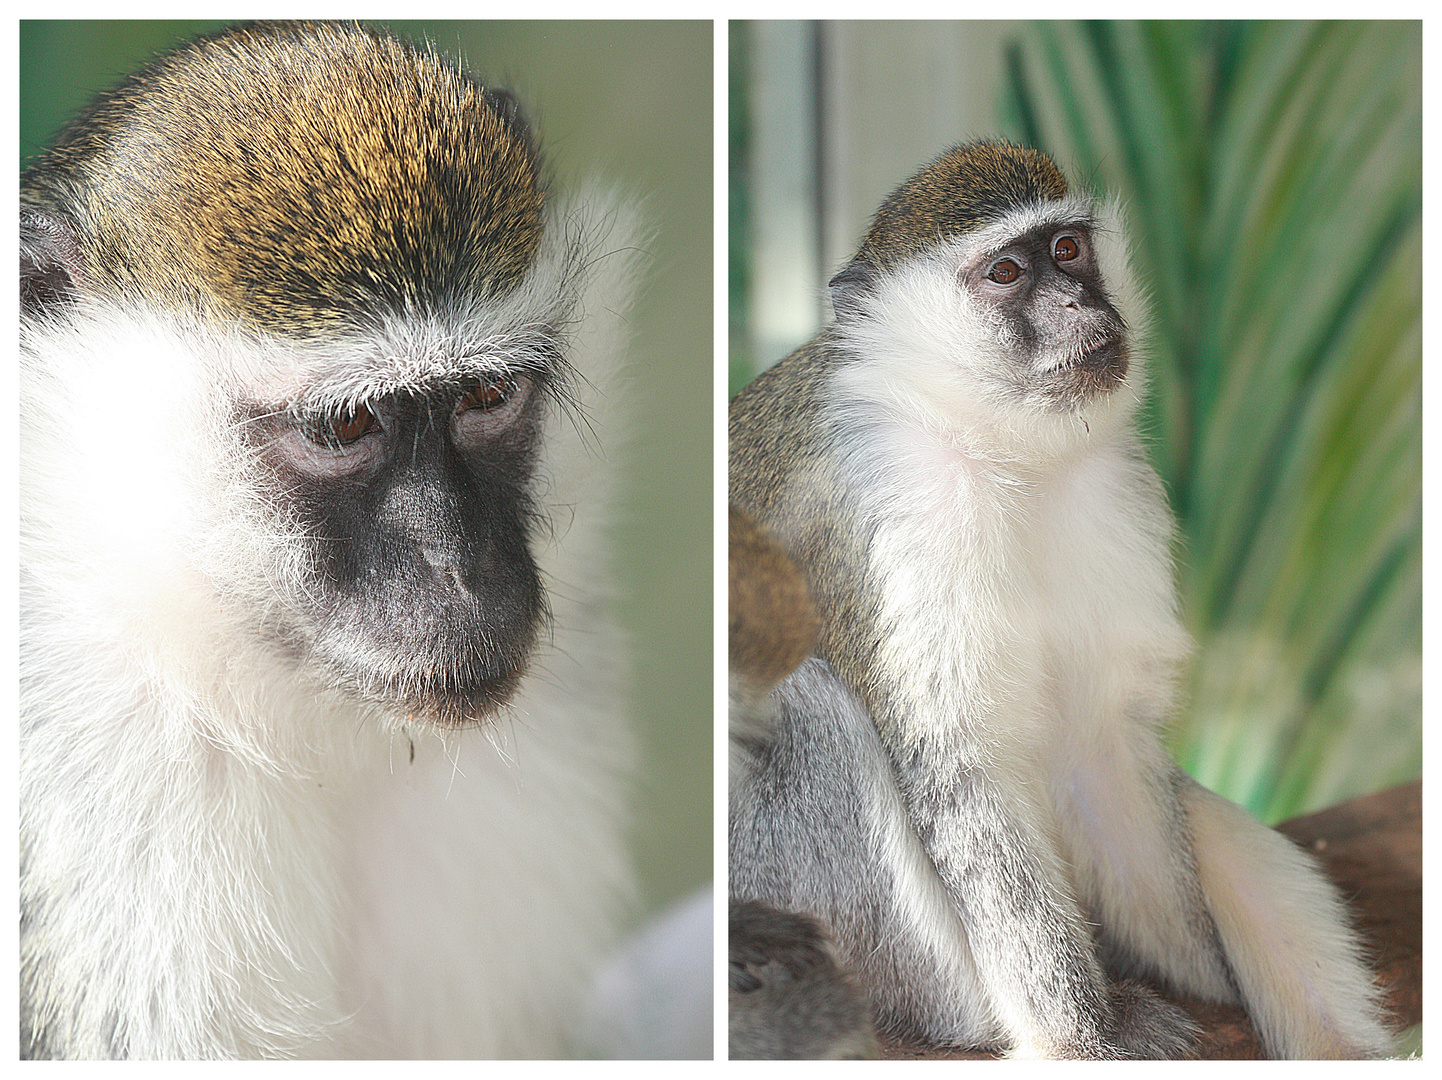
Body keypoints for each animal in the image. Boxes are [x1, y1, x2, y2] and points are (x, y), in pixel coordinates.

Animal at [732, 139, 1395, 1055]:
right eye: (1007, 272)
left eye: (1070, 250)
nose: (1081, 302)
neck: (998, 450)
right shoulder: (894, 510)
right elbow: (962, 773)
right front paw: (1088, 1038)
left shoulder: (1114, 486)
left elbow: (1102, 742)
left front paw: (1208, 980)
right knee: (811, 710)